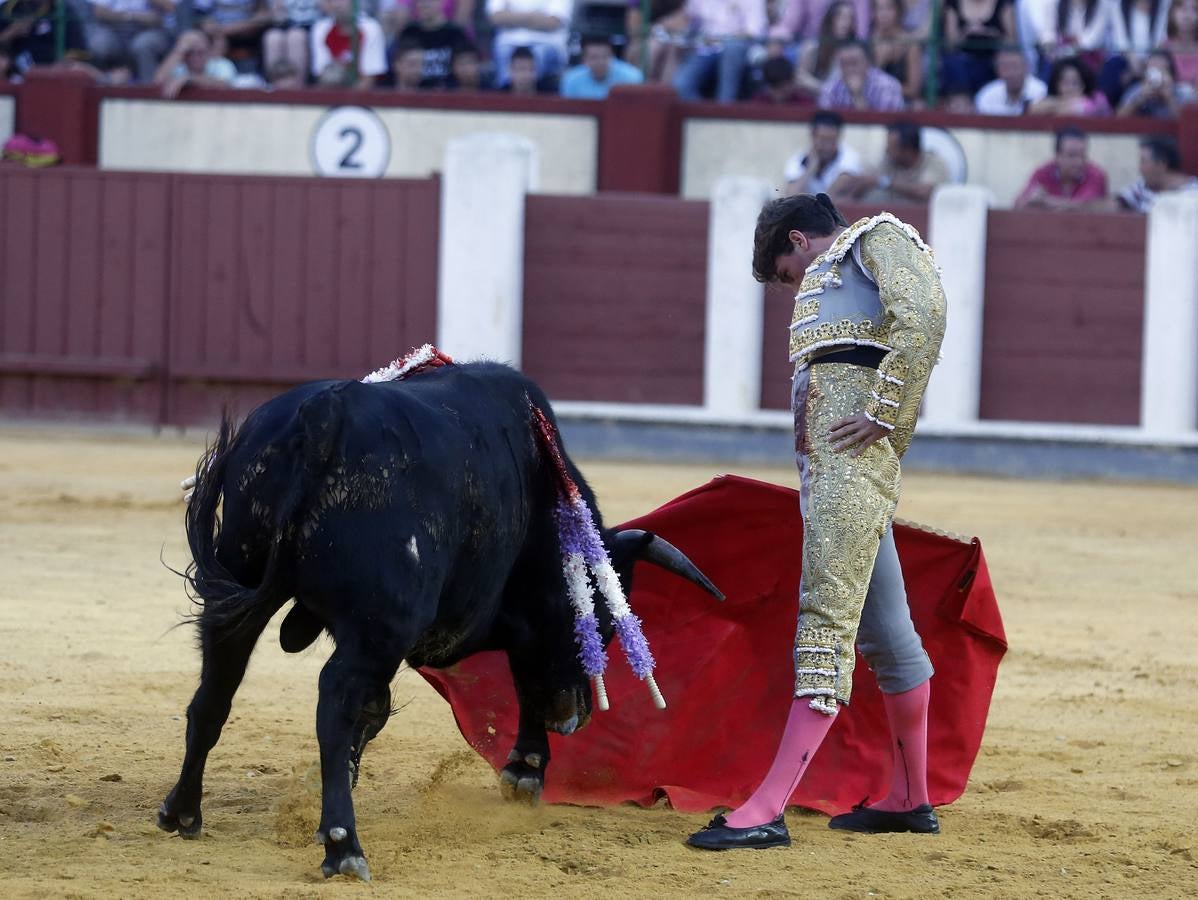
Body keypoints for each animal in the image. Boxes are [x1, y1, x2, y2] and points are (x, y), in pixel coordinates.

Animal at [159, 361, 718, 882]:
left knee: (214, 696)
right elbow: (523, 678)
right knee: (333, 699)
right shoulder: (503, 623)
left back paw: (182, 812)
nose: (573, 718)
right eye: (597, 623)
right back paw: (344, 846)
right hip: (378, 629)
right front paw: (526, 770)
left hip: (235, 585)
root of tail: (322, 417)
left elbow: (377, 711)